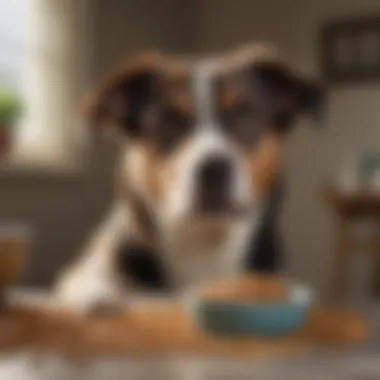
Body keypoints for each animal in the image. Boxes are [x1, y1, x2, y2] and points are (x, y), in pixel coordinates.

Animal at [54, 44, 324, 314]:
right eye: (170, 121)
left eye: (244, 115)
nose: (214, 169)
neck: (206, 240)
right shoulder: (94, 263)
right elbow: (91, 279)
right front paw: (98, 295)